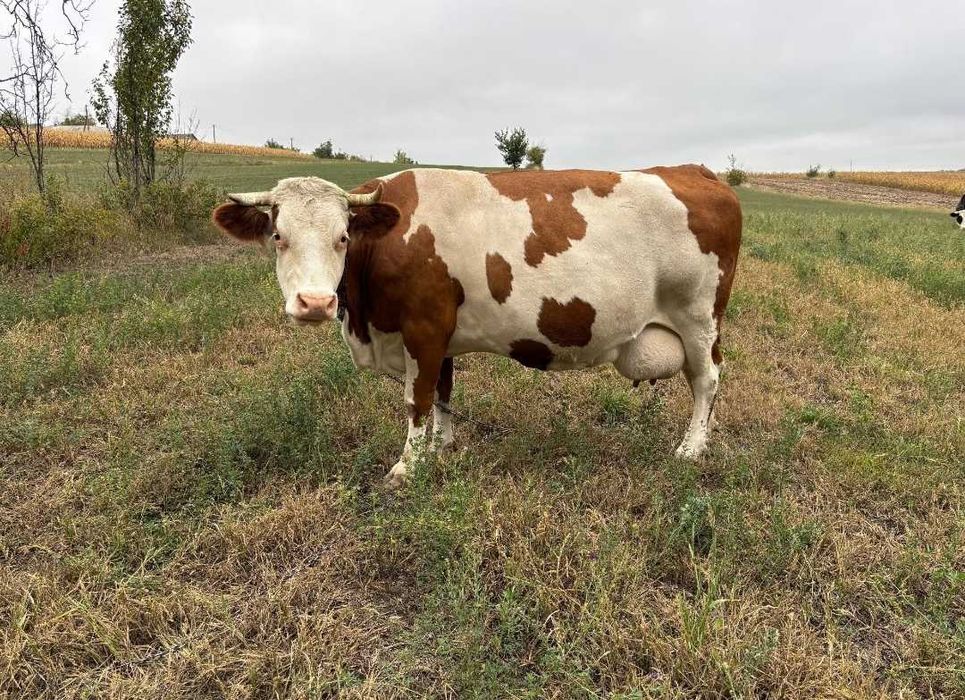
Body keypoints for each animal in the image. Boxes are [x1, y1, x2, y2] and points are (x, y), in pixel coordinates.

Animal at [212, 165, 742, 488]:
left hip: (699, 317)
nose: (316, 302)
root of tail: (694, 170)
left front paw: (406, 466)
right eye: (277, 235)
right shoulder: (441, 334)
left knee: (707, 380)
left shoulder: (423, 326)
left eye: (343, 237)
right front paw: (441, 447)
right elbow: (444, 392)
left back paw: (691, 448)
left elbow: (418, 399)